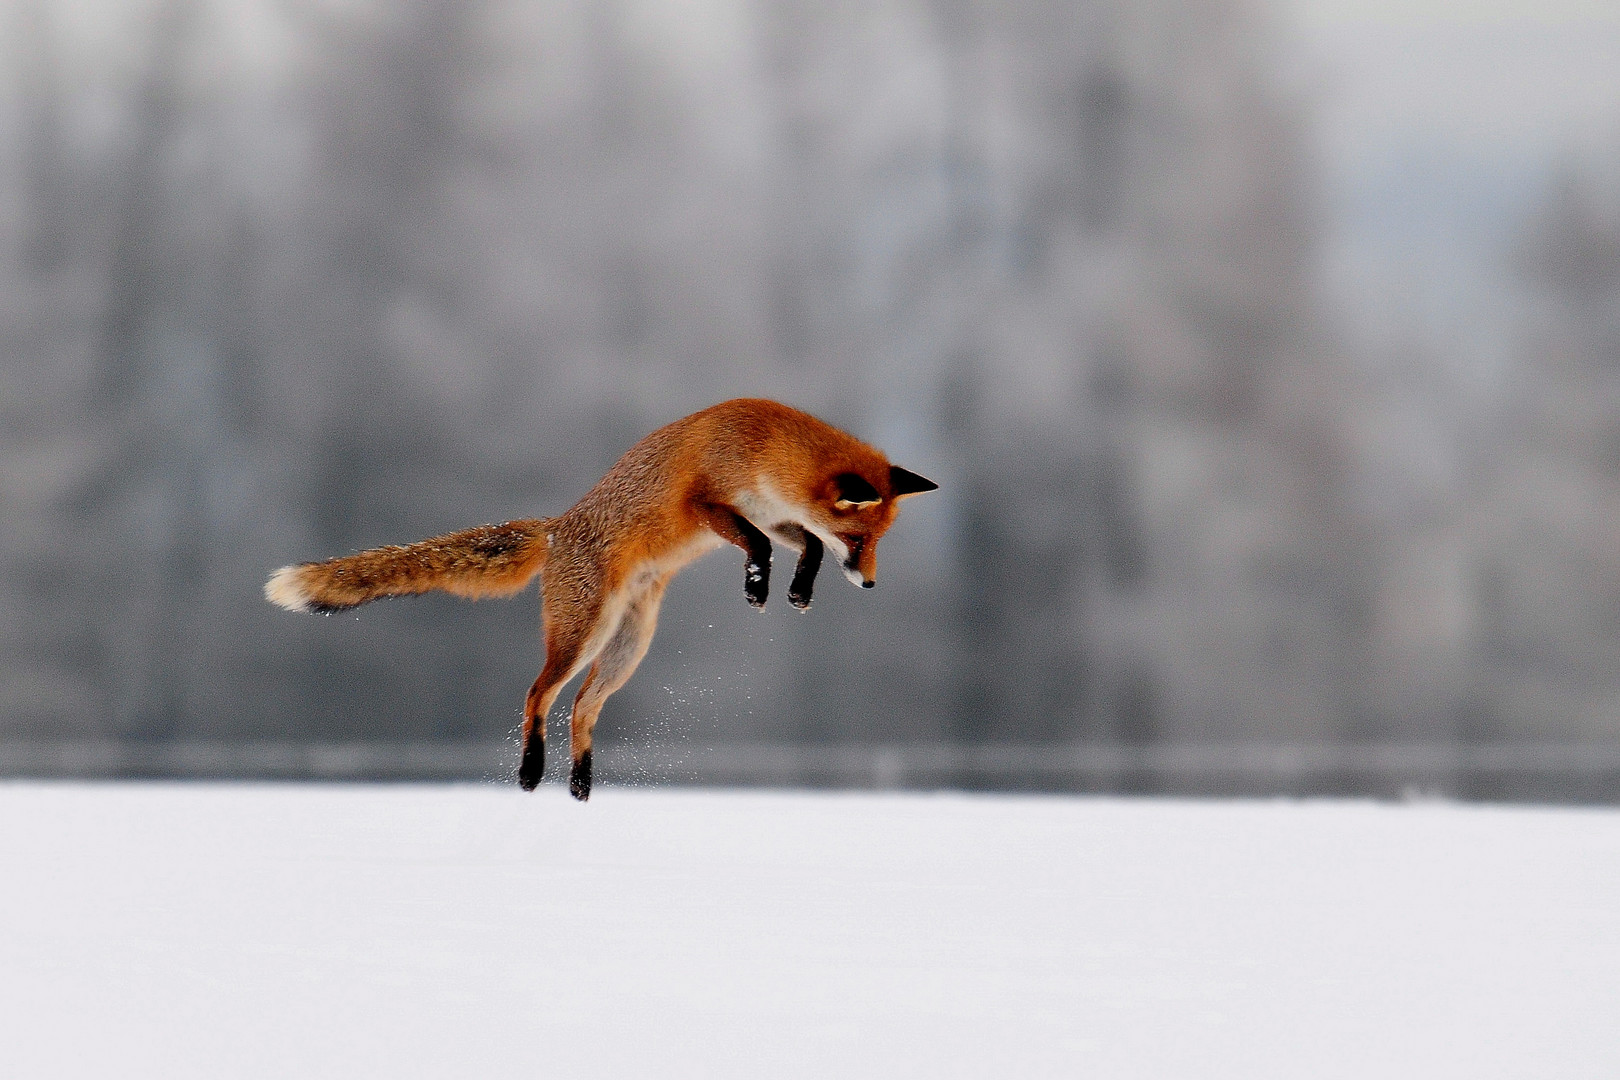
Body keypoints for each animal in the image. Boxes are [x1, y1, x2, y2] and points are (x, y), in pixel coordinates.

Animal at [265, 399, 939, 803]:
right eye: (862, 539)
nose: (871, 584)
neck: (764, 448)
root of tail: (557, 527)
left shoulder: (777, 517)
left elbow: (808, 547)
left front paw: (797, 590)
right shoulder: (713, 507)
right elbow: (759, 544)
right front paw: (758, 584)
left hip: (627, 647)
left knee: (581, 710)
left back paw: (582, 784)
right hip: (582, 634)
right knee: (538, 694)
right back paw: (531, 770)